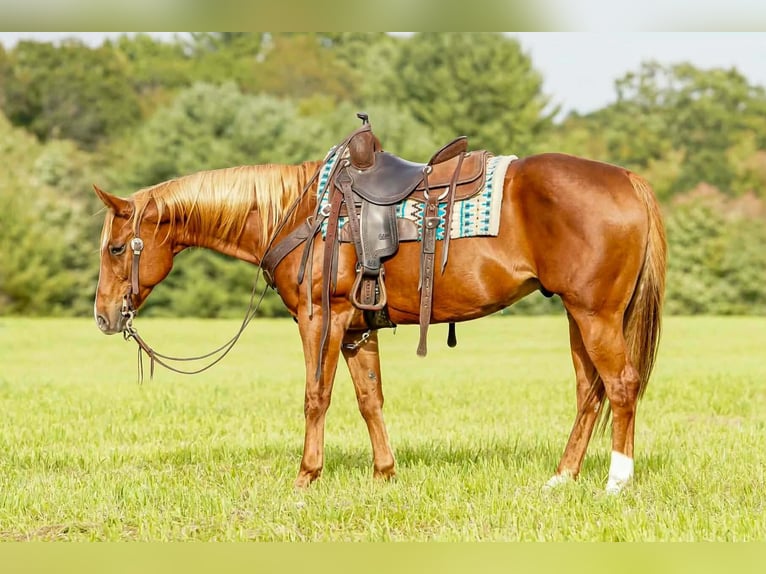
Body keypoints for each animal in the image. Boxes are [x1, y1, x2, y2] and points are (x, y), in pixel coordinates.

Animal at [93, 133, 666, 494]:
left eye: (117, 248)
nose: (103, 317)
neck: (302, 213)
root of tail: (627, 179)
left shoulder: (320, 319)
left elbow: (316, 396)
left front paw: (306, 475)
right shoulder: (356, 329)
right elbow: (370, 399)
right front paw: (385, 473)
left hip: (595, 315)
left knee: (621, 385)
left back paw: (616, 481)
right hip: (577, 315)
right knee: (590, 391)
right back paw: (562, 477)